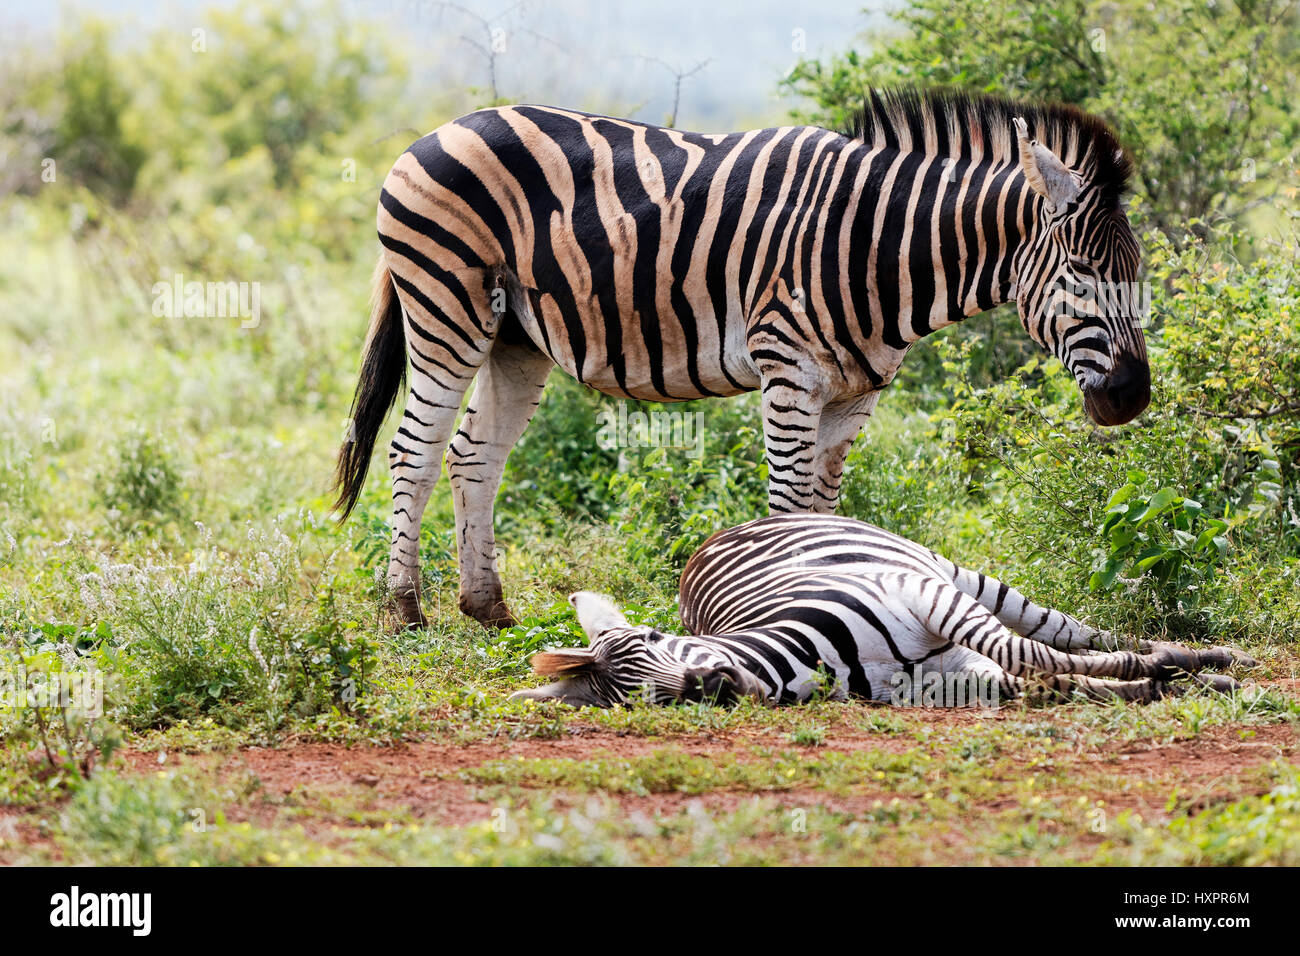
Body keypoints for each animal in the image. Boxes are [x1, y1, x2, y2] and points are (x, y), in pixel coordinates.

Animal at [333, 89, 1151, 630]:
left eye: (1137, 275)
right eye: (1083, 275)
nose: (1133, 399)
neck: (876, 247)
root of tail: (441, 129)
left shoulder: (855, 394)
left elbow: (825, 510)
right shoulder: (788, 368)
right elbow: (789, 506)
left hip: (515, 336)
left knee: (473, 455)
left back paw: (486, 607)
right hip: (446, 303)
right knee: (413, 451)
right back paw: (405, 610)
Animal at [512, 514, 1251, 708]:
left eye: (655, 641)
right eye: (640, 701)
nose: (707, 685)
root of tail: (714, 536)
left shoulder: (922, 597)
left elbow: (1031, 656)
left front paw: (1165, 670)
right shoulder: (944, 677)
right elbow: (1039, 681)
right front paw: (1151, 686)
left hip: (956, 577)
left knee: (1067, 631)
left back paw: (1200, 654)